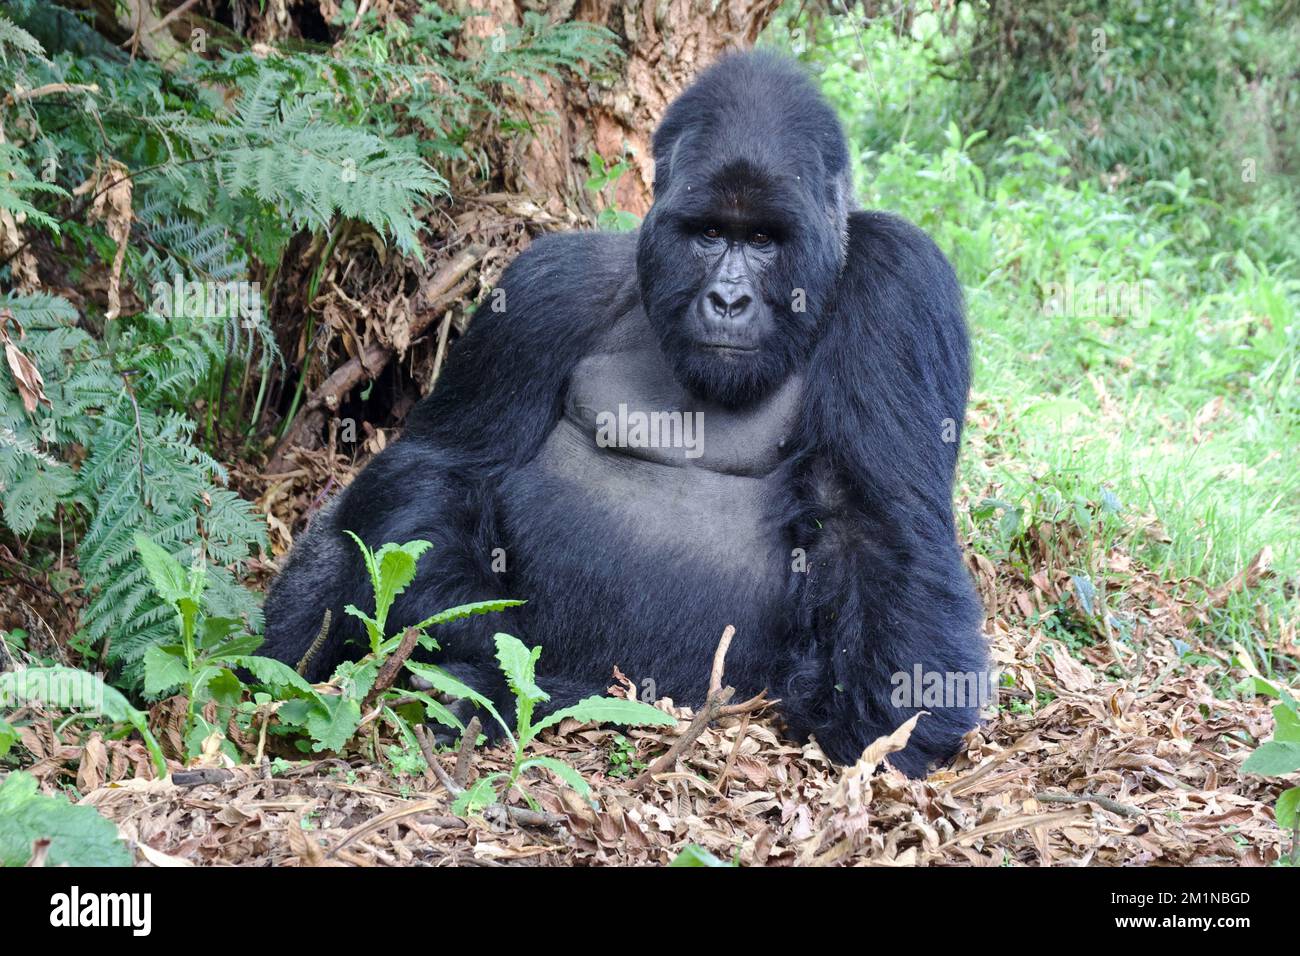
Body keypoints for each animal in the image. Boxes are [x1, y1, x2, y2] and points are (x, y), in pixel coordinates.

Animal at [263, 48, 982, 780]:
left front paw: (880, 724)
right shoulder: (548, 285)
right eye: (709, 233)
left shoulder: (900, 279)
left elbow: (878, 526)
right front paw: (472, 634)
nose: (728, 300)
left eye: (764, 239)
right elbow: (443, 463)